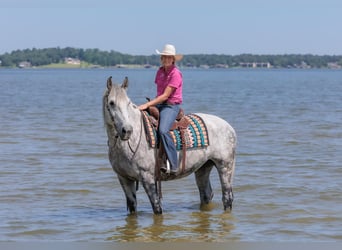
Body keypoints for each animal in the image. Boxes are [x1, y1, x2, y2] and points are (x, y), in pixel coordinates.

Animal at [103, 76, 236, 215]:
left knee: (227, 197)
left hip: (225, 166)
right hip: (203, 167)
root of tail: (228, 126)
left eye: (128, 103)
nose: (127, 130)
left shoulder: (148, 178)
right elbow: (133, 207)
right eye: (111, 103)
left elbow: (157, 207)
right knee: (206, 194)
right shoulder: (124, 179)